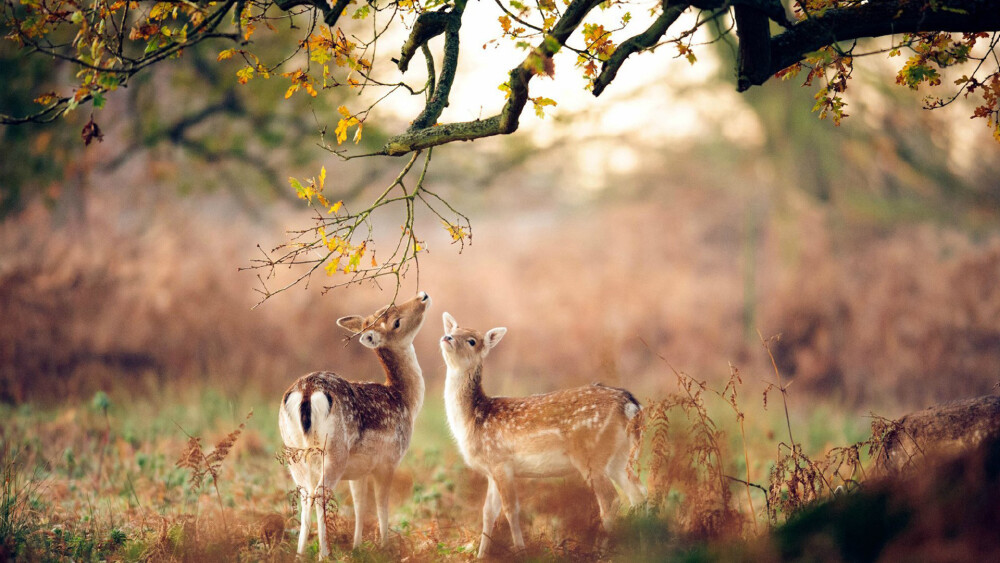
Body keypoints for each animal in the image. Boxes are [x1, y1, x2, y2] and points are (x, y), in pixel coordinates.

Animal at [278, 294, 430, 556]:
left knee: (306, 493)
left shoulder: (359, 471)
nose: (422, 296)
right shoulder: (389, 460)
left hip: (293, 453)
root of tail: (306, 391)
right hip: (334, 451)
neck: (405, 400)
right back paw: (324, 553)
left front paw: (357, 546)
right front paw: (384, 546)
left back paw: (300, 554)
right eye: (396, 322)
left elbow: (359, 505)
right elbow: (381, 504)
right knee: (320, 493)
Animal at [440, 312, 648, 560]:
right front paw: (481, 556)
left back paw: (599, 551)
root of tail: (631, 406)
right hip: (620, 457)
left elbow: (511, 510)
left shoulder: (501, 461)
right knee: (639, 493)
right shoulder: (491, 470)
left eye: (472, 340)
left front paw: (521, 552)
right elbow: (488, 512)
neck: (473, 419)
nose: (447, 337)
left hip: (590, 455)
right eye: (454, 329)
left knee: (611, 499)